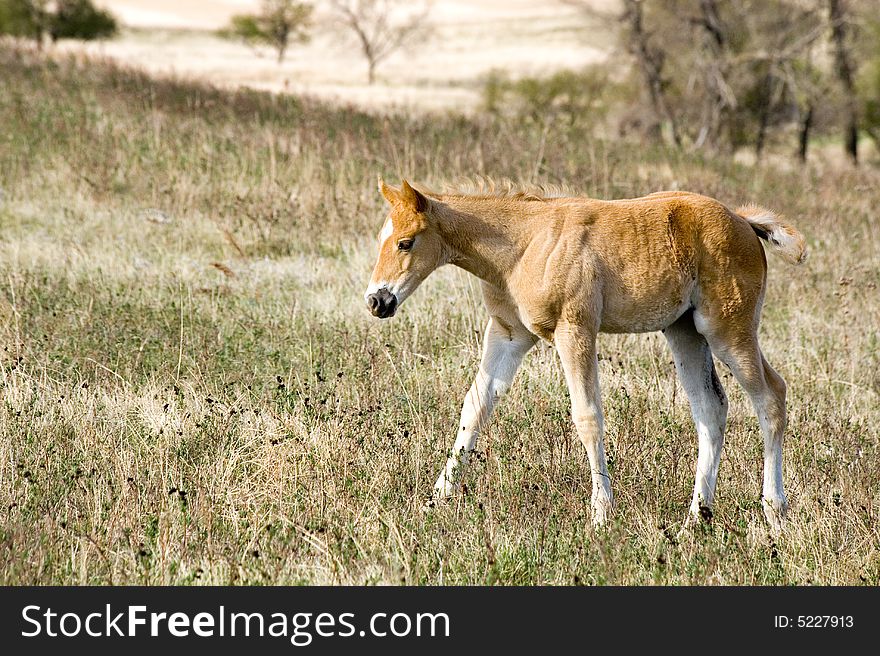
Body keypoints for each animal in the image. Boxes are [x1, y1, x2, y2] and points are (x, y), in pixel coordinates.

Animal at [362, 177, 804, 532]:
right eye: (380, 238)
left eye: (405, 242)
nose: (377, 301)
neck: (525, 244)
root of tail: (743, 222)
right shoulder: (509, 333)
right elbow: (475, 407)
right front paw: (434, 501)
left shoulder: (574, 330)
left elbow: (588, 416)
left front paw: (601, 514)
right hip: (684, 333)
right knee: (710, 410)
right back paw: (695, 519)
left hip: (728, 331)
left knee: (771, 397)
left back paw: (774, 512)